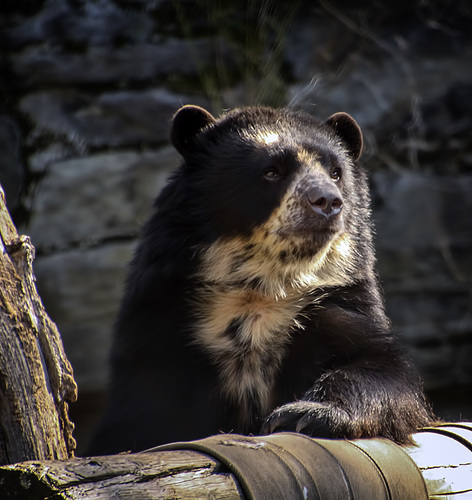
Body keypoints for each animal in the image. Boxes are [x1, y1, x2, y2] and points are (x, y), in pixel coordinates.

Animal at [88, 103, 432, 456]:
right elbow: (142, 414)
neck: (261, 288)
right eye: (271, 172)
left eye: (336, 172)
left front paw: (301, 415)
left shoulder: (335, 303)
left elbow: (384, 372)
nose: (328, 201)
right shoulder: (161, 324)